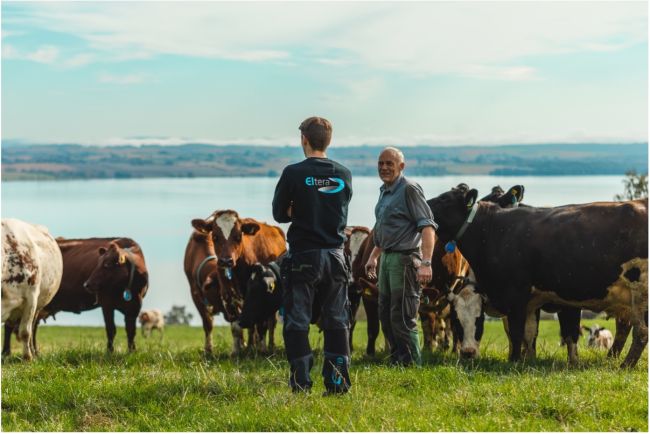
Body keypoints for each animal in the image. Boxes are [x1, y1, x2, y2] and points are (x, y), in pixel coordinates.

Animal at [1, 219, 62, 362]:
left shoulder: (31, 298)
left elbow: (25, 332)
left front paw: (27, 358)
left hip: (38, 306)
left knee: (32, 327)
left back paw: (34, 352)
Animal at [2, 237, 147, 356]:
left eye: (107, 265)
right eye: (98, 263)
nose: (87, 284)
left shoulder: (135, 306)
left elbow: (131, 330)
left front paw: (131, 351)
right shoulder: (106, 303)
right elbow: (111, 329)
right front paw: (110, 352)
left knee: (31, 327)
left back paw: (34, 352)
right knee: (11, 326)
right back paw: (7, 353)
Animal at [190, 210, 286, 356]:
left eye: (238, 236)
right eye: (215, 237)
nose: (226, 261)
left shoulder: (263, 295)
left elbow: (262, 325)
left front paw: (262, 350)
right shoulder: (228, 297)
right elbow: (236, 326)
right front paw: (236, 352)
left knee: (271, 323)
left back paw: (269, 346)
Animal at [428, 185, 644, 368]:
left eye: (444, 198)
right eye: (456, 320)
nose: (468, 354)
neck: (491, 231)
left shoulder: (518, 295)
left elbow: (521, 332)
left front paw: (515, 362)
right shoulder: (532, 301)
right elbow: (529, 333)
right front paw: (529, 360)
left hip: (640, 291)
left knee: (641, 332)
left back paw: (625, 365)